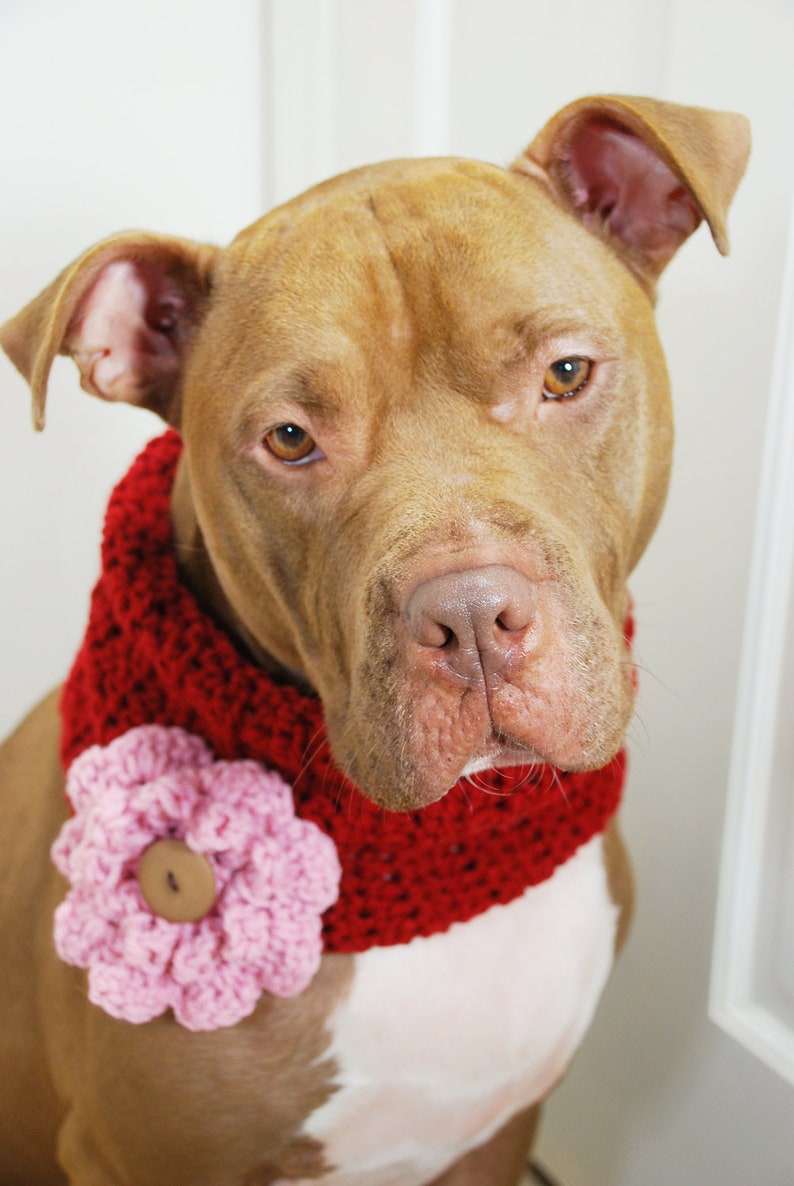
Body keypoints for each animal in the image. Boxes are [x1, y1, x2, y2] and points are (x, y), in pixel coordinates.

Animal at [0, 94, 750, 1186]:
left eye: (565, 373)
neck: (435, 878)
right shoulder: (129, 1156)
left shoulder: (498, 1131)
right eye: (289, 439)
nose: (473, 618)